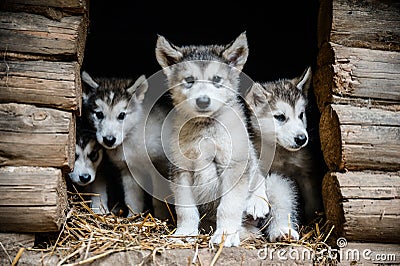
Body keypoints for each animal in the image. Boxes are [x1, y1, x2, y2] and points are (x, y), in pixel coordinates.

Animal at [245, 66, 324, 227]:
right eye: (280, 117)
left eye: (301, 115)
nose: (302, 139)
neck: (280, 153)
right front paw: (257, 202)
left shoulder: (307, 170)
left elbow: (312, 197)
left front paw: (315, 217)